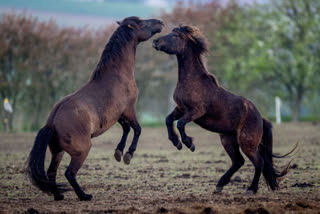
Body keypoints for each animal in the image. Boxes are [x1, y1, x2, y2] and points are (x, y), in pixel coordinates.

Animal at [26, 16, 164, 201]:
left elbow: (127, 129)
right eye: (142, 22)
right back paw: (84, 195)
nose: (160, 22)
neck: (116, 75)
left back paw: (59, 196)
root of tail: (52, 123)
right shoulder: (129, 110)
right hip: (81, 151)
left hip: (58, 152)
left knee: (51, 172)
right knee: (69, 173)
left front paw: (118, 152)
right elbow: (137, 129)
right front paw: (128, 155)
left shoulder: (118, 116)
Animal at [154, 25, 296, 194]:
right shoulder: (180, 109)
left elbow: (180, 124)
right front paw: (176, 142)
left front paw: (189, 144)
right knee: (238, 161)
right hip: (227, 140)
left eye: (175, 36)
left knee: (259, 162)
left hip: (246, 142)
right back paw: (220, 185)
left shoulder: (195, 112)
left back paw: (251, 189)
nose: (155, 41)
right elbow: (168, 120)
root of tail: (261, 118)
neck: (192, 81)